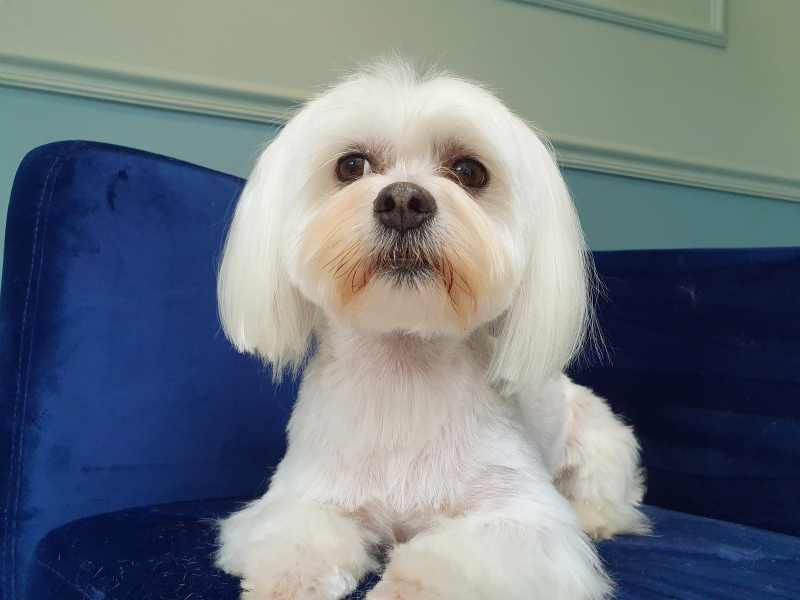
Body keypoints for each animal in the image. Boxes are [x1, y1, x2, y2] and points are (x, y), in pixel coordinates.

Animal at [215, 60, 648, 600]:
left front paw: (403, 588)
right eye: (350, 166)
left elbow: (449, 562)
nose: (403, 199)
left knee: (612, 497)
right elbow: (297, 538)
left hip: (599, 437)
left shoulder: (527, 523)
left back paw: (593, 517)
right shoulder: (298, 497)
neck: (402, 370)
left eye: (468, 171)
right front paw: (289, 582)